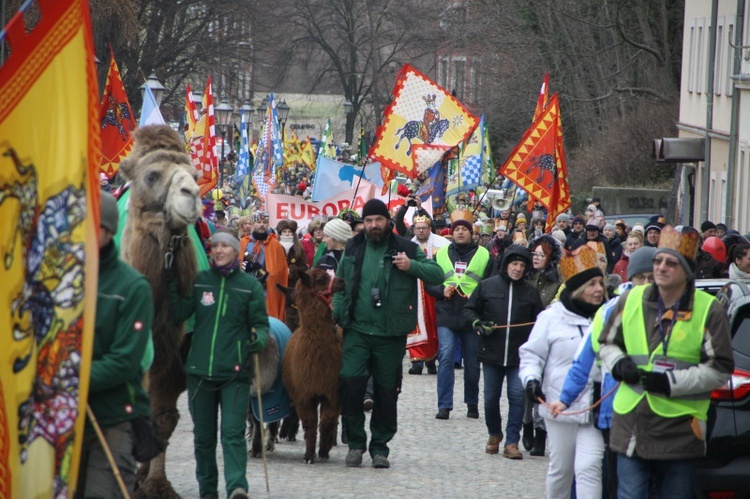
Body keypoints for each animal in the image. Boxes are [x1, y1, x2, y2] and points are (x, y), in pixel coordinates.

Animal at [282, 270, 346, 464]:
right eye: (321, 279)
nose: (342, 281)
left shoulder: (332, 392)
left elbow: (326, 421)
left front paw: (323, 450)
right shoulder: (305, 394)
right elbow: (310, 423)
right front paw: (309, 455)